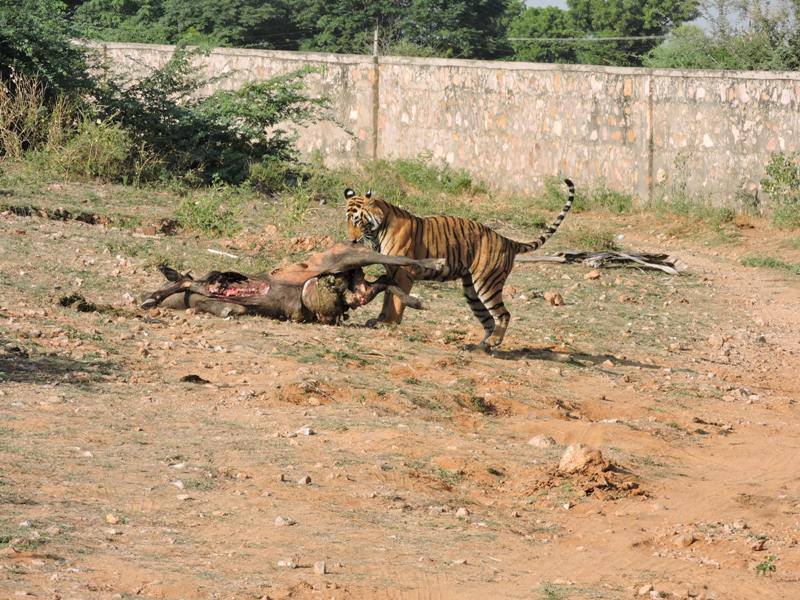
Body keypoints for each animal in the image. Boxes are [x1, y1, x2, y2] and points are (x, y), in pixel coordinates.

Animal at [344, 176, 576, 350]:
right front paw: (380, 320)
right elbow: (389, 297)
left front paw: (389, 323)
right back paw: (480, 345)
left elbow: (396, 300)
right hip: (472, 290)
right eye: (347, 220)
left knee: (503, 314)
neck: (377, 231)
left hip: (487, 283)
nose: (352, 240)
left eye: (357, 220)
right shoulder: (392, 271)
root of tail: (507, 240)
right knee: (489, 319)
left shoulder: (403, 272)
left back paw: (494, 341)